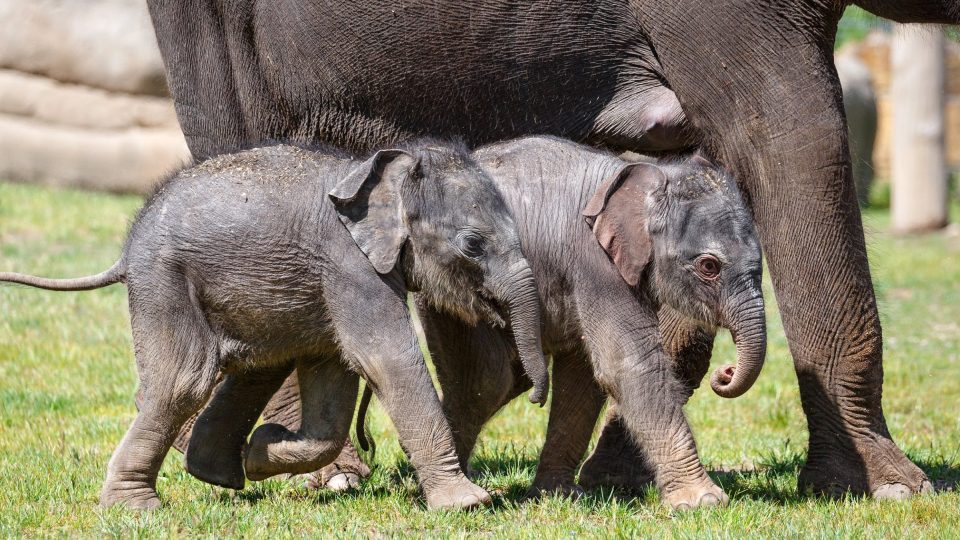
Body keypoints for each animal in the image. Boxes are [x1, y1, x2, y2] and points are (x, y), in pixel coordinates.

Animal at [0, 140, 552, 510]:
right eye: (472, 245)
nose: (533, 396)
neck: (386, 170)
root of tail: (126, 249)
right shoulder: (348, 265)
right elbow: (384, 360)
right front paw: (472, 503)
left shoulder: (336, 279)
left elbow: (334, 381)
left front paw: (263, 451)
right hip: (165, 281)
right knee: (185, 381)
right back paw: (136, 508)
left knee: (255, 369)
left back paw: (226, 473)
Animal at [412, 137, 764, 508]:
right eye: (708, 266)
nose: (725, 373)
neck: (646, 177)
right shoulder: (595, 264)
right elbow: (627, 365)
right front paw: (703, 501)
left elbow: (584, 377)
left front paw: (558, 495)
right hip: (449, 292)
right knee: (486, 380)